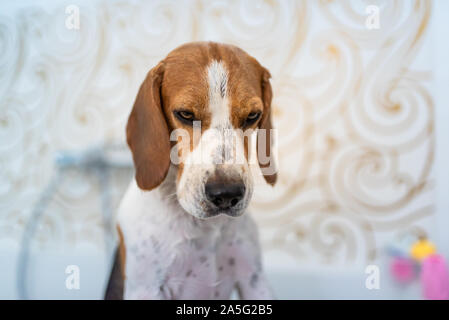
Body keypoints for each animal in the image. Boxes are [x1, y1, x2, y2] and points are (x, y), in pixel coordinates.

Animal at [105, 42, 276, 300]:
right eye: (185, 114)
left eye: (252, 116)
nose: (227, 194)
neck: (205, 227)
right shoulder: (147, 288)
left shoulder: (255, 282)